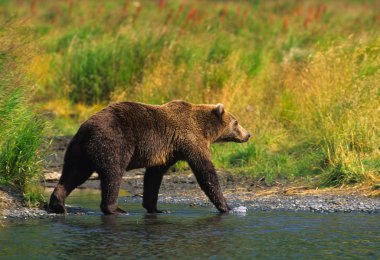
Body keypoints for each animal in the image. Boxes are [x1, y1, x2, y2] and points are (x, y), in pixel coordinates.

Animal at [49, 100, 251, 214]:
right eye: (236, 122)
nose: (248, 134)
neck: (205, 129)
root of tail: (85, 129)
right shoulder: (190, 140)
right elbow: (205, 171)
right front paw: (227, 206)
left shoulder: (168, 151)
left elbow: (154, 176)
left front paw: (157, 208)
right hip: (114, 142)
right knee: (113, 174)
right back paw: (115, 209)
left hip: (78, 151)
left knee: (73, 173)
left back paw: (58, 203)